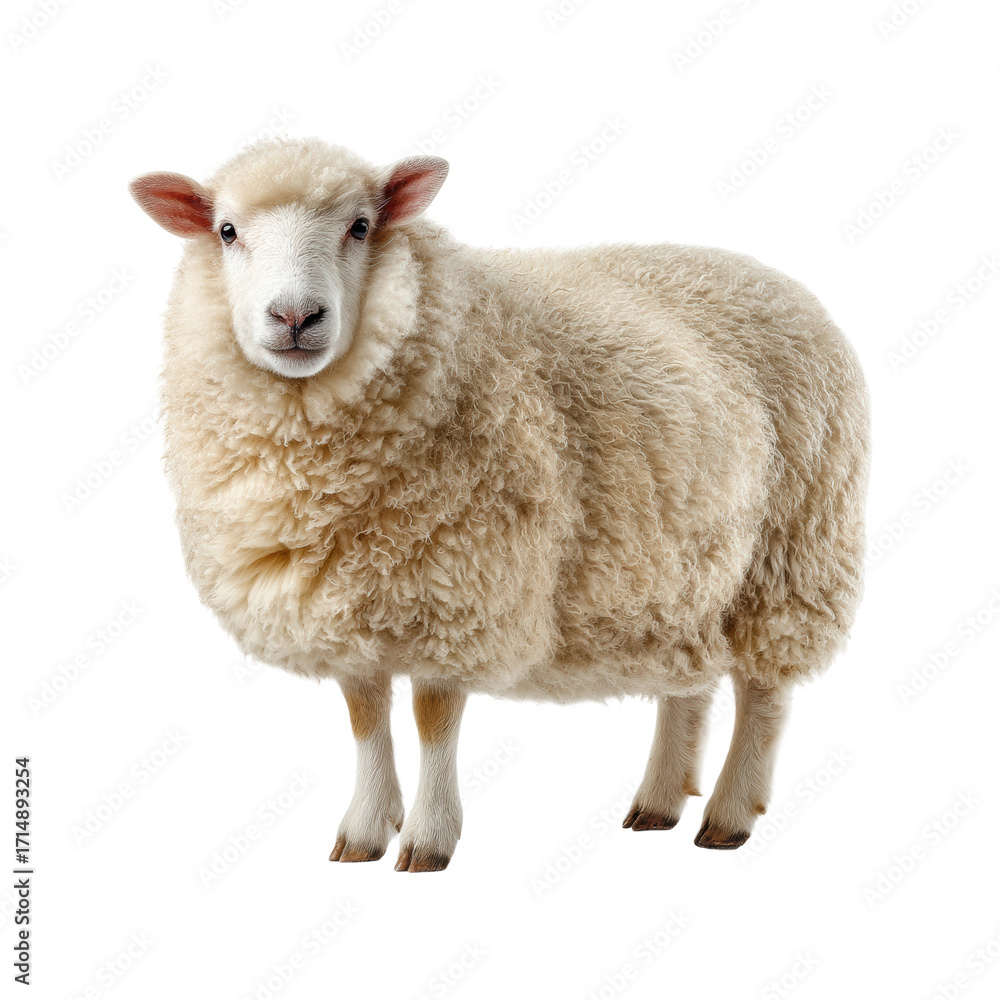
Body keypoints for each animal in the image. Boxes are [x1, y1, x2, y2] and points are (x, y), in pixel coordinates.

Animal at [128, 137, 869, 872]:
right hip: (686, 576)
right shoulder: (350, 606)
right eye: (227, 231)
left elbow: (433, 719)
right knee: (690, 684)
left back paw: (729, 816)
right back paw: (659, 803)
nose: (295, 317)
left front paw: (427, 840)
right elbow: (366, 718)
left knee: (764, 695)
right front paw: (364, 832)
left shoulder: (461, 589)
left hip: (792, 556)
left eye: (360, 226)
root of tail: (773, 279)